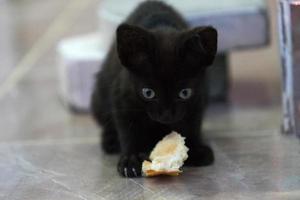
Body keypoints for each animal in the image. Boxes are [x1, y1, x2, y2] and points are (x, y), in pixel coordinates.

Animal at [90, 0, 217, 177]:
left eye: (185, 93)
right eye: (148, 93)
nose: (167, 115)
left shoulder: (199, 99)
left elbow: (192, 125)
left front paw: (196, 148)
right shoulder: (122, 98)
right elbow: (128, 131)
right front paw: (130, 159)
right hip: (98, 98)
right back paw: (110, 141)